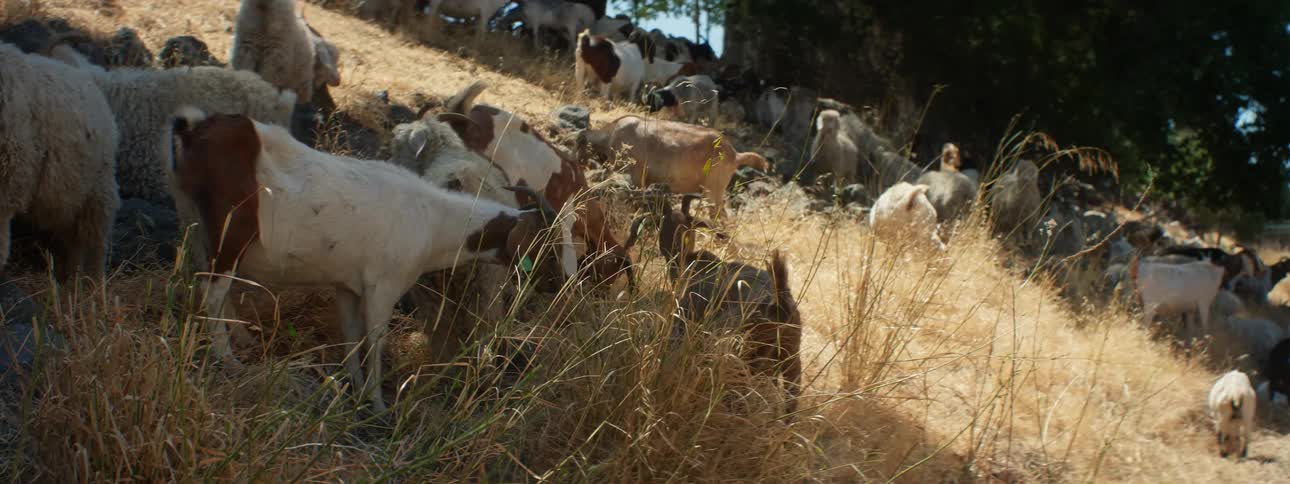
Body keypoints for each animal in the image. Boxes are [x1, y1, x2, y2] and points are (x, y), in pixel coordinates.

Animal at [167, 109, 564, 412]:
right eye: (541, 242)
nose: (553, 284)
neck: (434, 219)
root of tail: (194, 131)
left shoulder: (347, 286)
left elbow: (351, 337)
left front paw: (354, 387)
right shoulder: (382, 288)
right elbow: (374, 341)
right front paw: (376, 401)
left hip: (193, 223)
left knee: (207, 281)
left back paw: (241, 340)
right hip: (231, 232)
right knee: (212, 292)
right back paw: (228, 359)